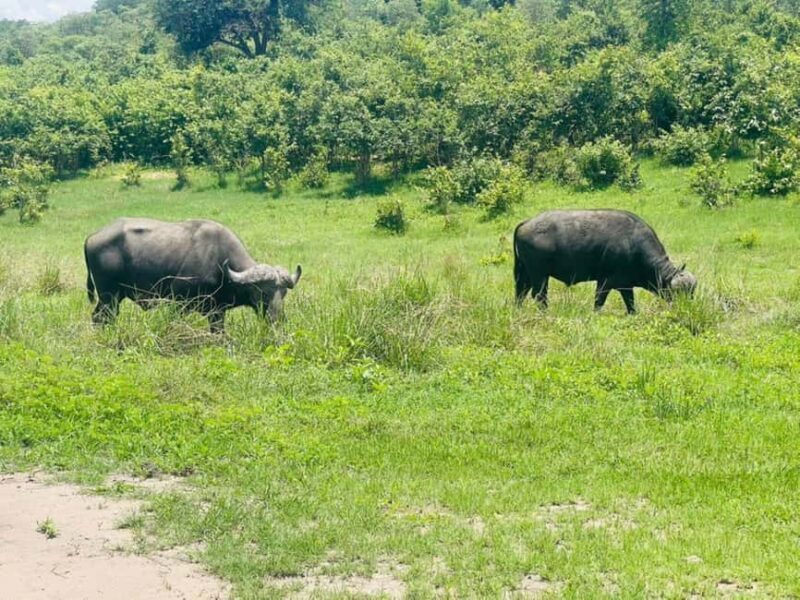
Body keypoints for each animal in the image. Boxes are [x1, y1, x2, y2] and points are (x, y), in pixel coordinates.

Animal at [84, 218, 301, 332]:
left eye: (283, 293)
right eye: (262, 292)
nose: (278, 319)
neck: (220, 264)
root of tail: (92, 237)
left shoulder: (217, 311)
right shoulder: (178, 302)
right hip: (109, 296)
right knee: (101, 317)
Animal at [513, 209, 696, 313]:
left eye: (691, 293)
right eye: (679, 293)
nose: (687, 309)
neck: (633, 245)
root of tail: (526, 223)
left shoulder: (625, 285)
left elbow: (631, 305)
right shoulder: (605, 282)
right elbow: (599, 302)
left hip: (525, 274)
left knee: (521, 292)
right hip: (539, 275)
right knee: (539, 295)